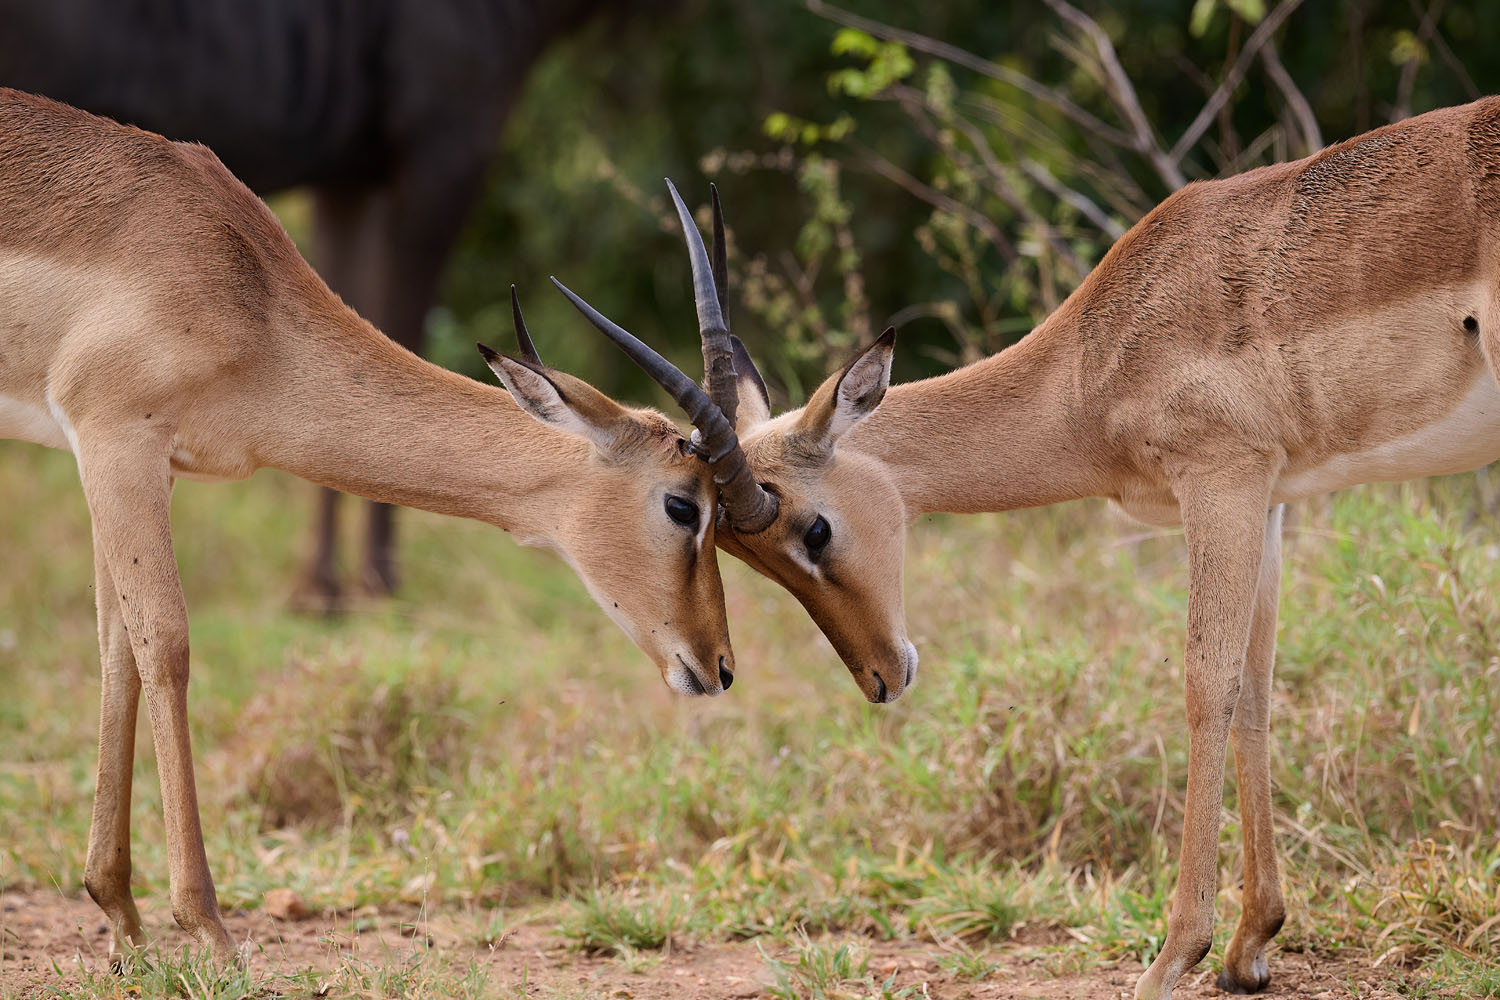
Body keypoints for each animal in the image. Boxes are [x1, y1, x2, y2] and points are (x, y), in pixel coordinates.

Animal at [0, 88, 754, 962]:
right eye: (683, 504)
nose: (718, 665)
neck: (243, 293)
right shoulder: (117, 443)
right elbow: (167, 645)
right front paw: (207, 926)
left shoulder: (133, 465)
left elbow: (116, 650)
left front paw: (118, 909)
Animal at [565, 97, 1500, 999]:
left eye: (814, 528)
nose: (881, 678)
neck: (1095, 361)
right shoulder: (1268, 497)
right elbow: (1257, 689)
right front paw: (1251, 949)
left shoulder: (1220, 478)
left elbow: (1207, 685)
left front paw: (1171, 959)